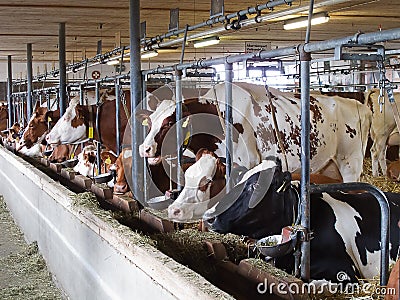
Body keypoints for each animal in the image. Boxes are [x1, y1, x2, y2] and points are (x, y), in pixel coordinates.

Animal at [138, 81, 372, 183]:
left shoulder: (247, 162)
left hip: (351, 163)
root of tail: (359, 105)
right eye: (150, 121)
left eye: (169, 122)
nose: (144, 148)